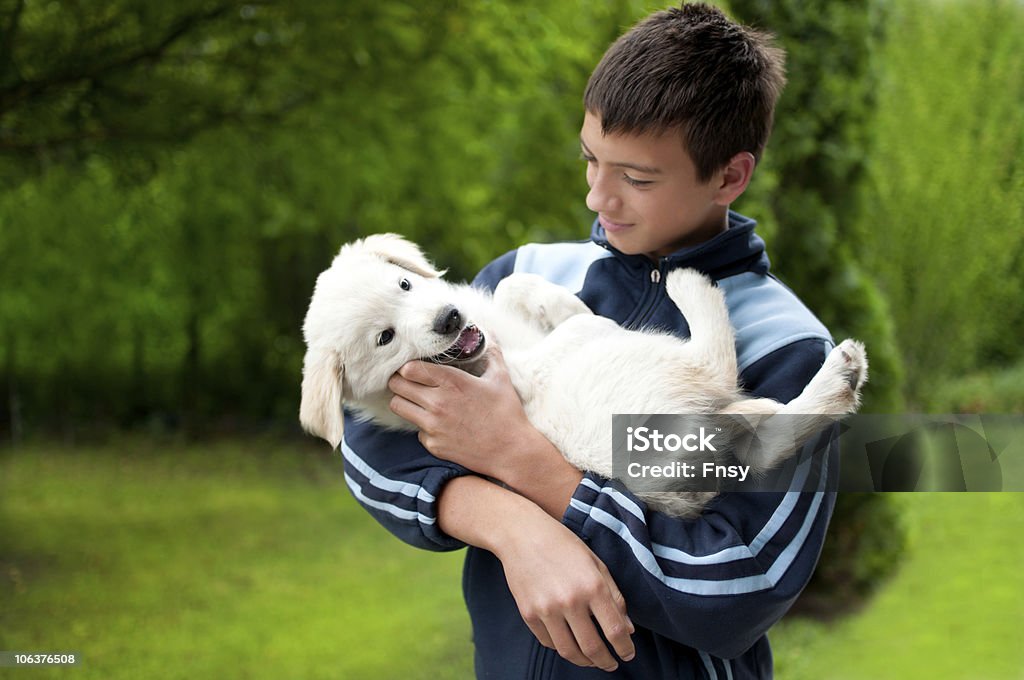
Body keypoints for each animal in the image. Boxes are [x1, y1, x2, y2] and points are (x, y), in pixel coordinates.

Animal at [299, 233, 868, 516]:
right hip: (652, 366)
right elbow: (578, 331)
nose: (449, 320)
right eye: (385, 338)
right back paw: (692, 284)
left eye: (404, 285)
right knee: (717, 364)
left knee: (764, 448)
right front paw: (587, 314)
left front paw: (559, 300)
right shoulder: (523, 370)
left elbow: (514, 286)